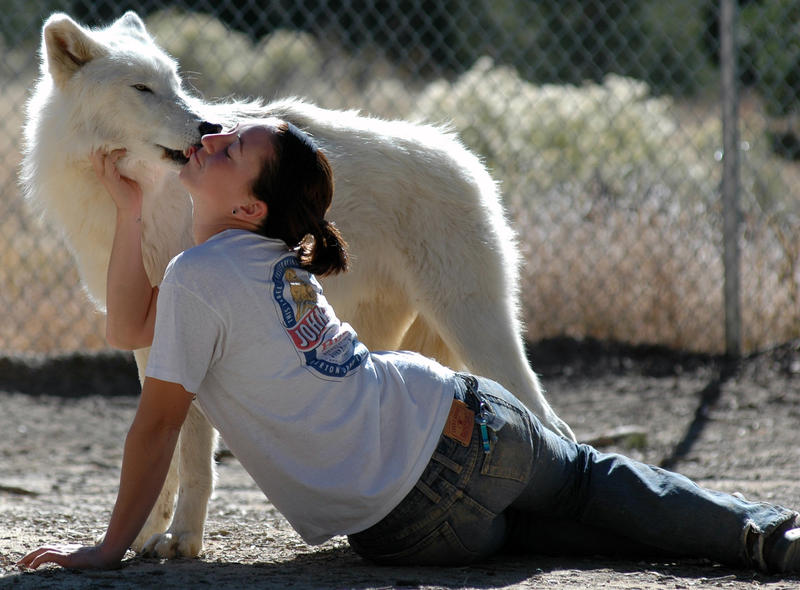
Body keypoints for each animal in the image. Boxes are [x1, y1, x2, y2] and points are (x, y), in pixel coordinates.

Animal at [21, 11, 576, 560]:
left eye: (175, 85)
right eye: (141, 88)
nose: (208, 128)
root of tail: (466, 158)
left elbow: (194, 456)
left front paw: (182, 541)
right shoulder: (149, 334)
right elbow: (167, 453)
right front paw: (141, 535)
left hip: (475, 326)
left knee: (551, 420)